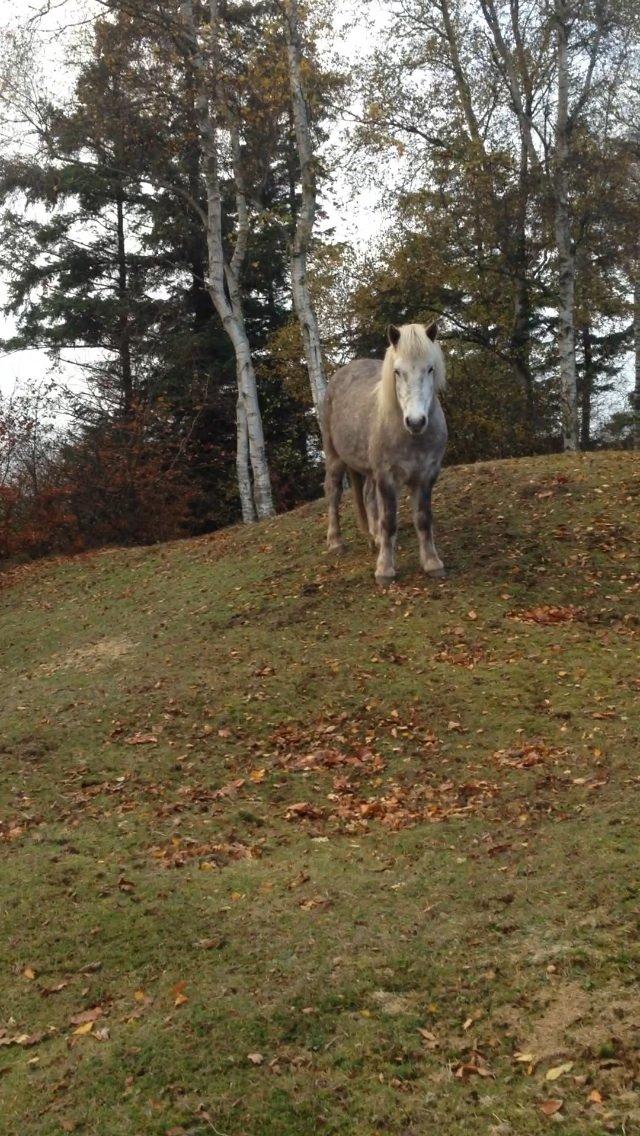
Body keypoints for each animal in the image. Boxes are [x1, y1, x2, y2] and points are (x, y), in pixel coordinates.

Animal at [322, 320, 447, 586]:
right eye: (397, 372)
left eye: (430, 369)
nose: (416, 422)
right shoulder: (387, 476)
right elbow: (389, 521)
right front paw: (385, 570)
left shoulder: (427, 475)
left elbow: (423, 518)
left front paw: (432, 563)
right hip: (335, 458)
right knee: (333, 492)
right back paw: (336, 542)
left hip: (370, 470)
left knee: (368, 495)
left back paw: (376, 538)